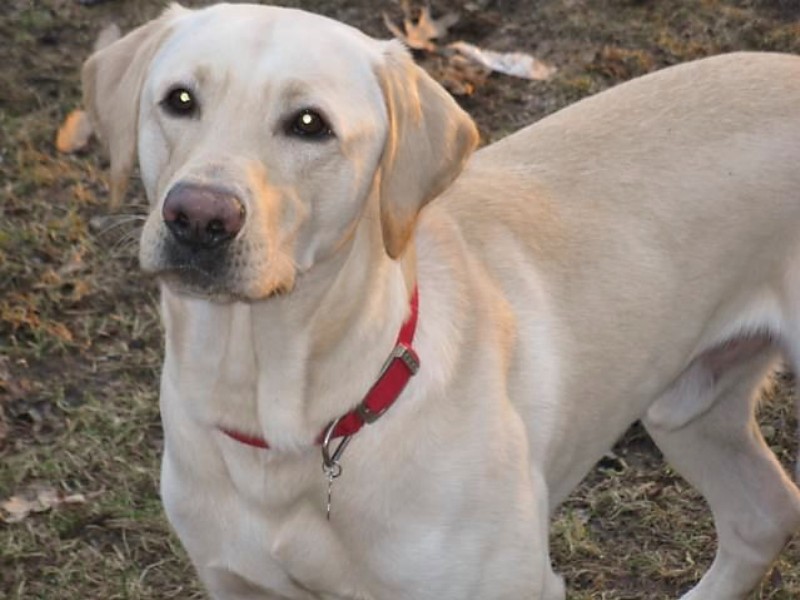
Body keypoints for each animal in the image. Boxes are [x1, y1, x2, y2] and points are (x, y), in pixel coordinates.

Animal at [81, 2, 800, 596]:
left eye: (309, 124)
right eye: (179, 100)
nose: (198, 217)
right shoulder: (235, 582)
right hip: (687, 407)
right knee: (762, 512)